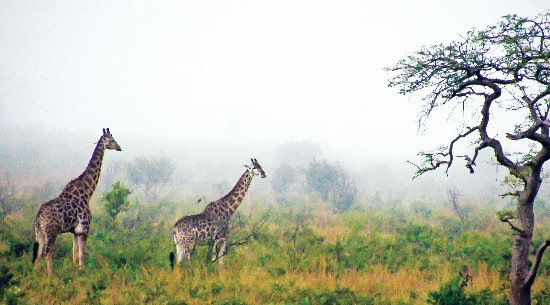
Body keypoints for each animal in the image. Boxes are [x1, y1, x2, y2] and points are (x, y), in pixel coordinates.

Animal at [32, 127, 122, 274]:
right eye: (112, 140)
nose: (120, 147)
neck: (87, 192)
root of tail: (38, 217)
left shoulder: (75, 231)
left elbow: (74, 254)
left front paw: (76, 272)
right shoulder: (84, 229)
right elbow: (82, 255)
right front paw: (83, 273)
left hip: (39, 232)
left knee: (39, 253)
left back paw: (34, 276)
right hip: (51, 232)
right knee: (47, 253)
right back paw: (50, 277)